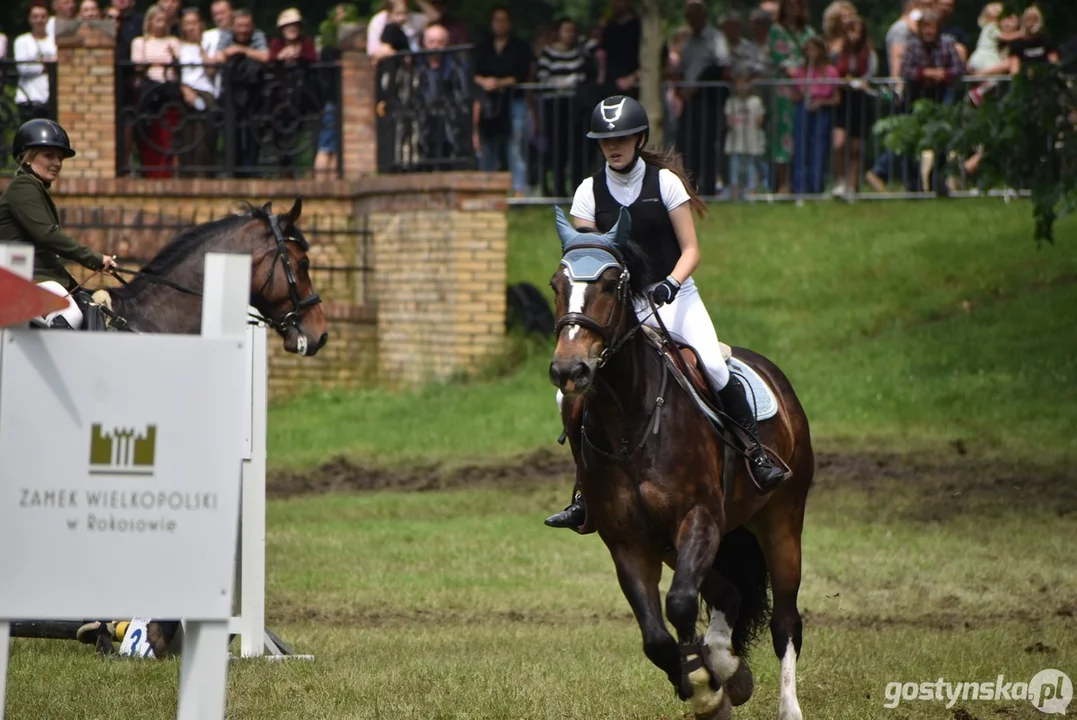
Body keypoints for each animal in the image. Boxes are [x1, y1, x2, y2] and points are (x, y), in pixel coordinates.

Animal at [551, 204, 809, 714]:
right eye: (556, 284)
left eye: (610, 284)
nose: (569, 370)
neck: (629, 424)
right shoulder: (628, 541)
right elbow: (656, 637)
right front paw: (712, 680)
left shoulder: (699, 517)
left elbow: (681, 605)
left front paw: (711, 683)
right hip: (673, 544)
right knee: (728, 593)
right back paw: (729, 670)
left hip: (781, 520)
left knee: (786, 620)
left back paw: (786, 707)